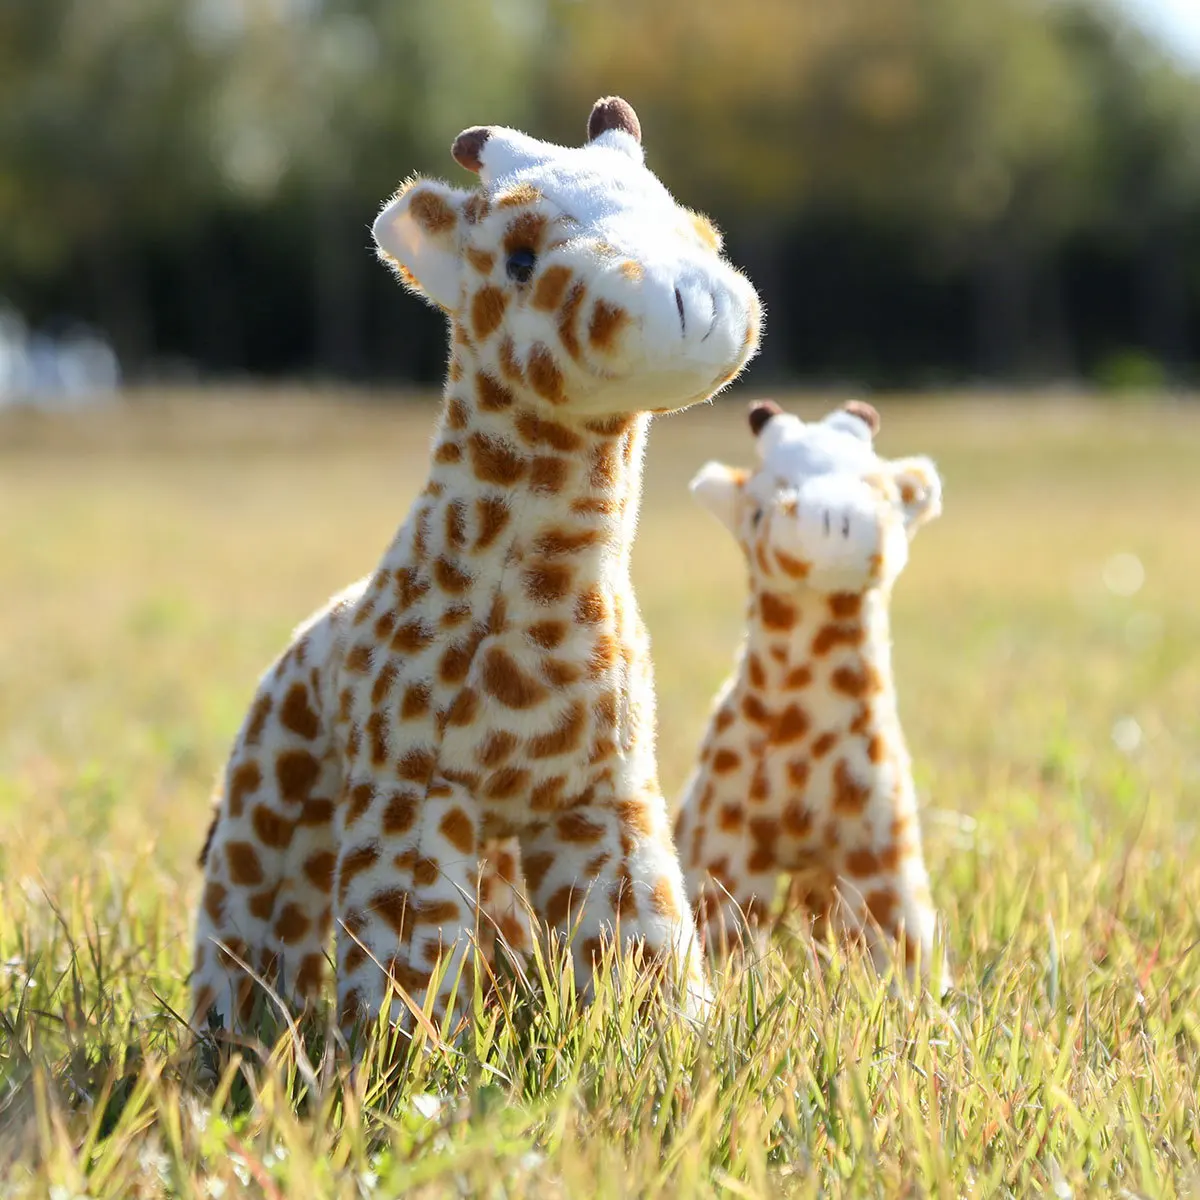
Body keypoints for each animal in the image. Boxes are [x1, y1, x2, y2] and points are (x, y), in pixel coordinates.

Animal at [191, 97, 762, 1037]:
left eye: (692, 224)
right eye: (521, 257)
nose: (694, 302)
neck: (551, 592)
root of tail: (309, 629)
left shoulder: (601, 794)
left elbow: (638, 943)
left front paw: (665, 1042)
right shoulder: (414, 790)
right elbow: (406, 960)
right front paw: (404, 1055)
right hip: (278, 790)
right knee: (245, 919)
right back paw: (232, 1038)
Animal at [673, 398, 946, 980]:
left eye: (884, 493)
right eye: (759, 510)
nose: (835, 523)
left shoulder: (878, 848)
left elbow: (900, 948)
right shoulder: (725, 847)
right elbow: (719, 939)